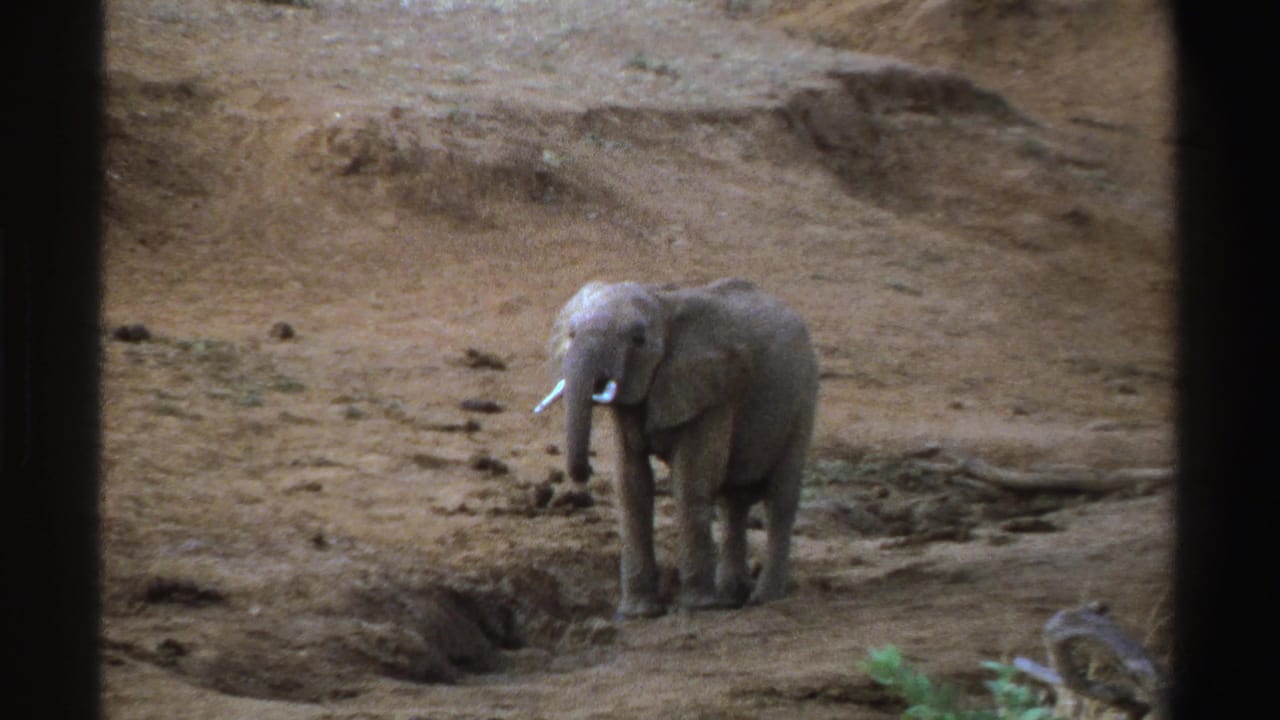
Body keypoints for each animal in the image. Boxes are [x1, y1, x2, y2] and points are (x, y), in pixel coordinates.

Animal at [534, 278, 819, 618]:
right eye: (571, 334)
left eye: (638, 340)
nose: (583, 472)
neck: (663, 305)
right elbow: (631, 484)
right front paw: (638, 613)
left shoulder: (712, 389)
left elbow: (690, 481)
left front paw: (698, 606)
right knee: (732, 503)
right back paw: (730, 598)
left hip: (804, 397)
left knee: (780, 499)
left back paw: (764, 598)